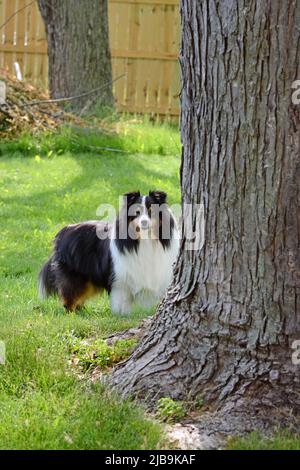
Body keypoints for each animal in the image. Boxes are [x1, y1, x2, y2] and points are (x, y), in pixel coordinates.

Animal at [37, 191, 178, 316]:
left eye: (151, 211)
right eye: (136, 213)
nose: (144, 222)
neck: (145, 240)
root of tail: (63, 232)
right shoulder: (121, 279)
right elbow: (122, 300)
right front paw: (122, 315)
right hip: (75, 275)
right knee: (70, 295)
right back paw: (71, 314)